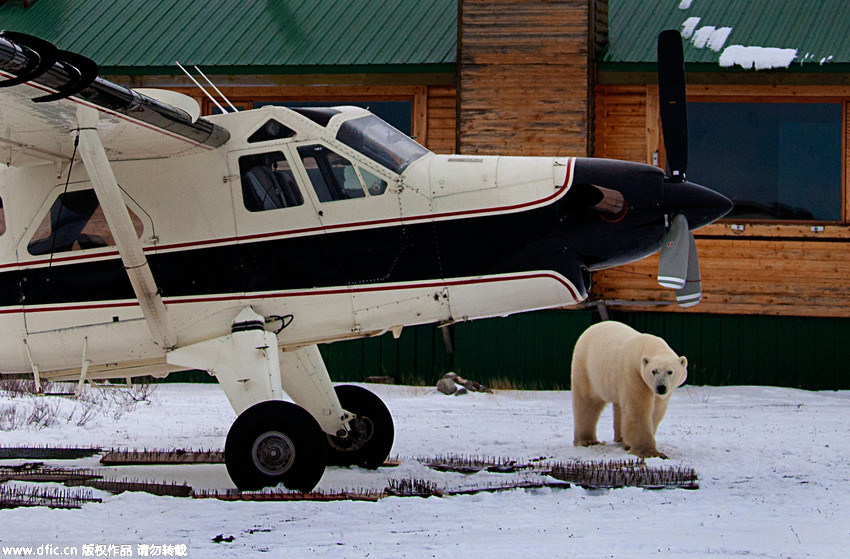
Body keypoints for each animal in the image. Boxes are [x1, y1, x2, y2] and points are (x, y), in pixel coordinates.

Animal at [568, 322, 684, 458]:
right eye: (654, 371)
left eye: (670, 371)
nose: (661, 387)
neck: (648, 345)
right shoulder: (634, 374)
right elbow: (638, 410)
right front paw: (650, 452)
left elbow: (656, 412)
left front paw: (630, 444)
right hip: (586, 369)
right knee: (587, 404)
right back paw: (587, 440)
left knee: (618, 407)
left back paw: (621, 439)